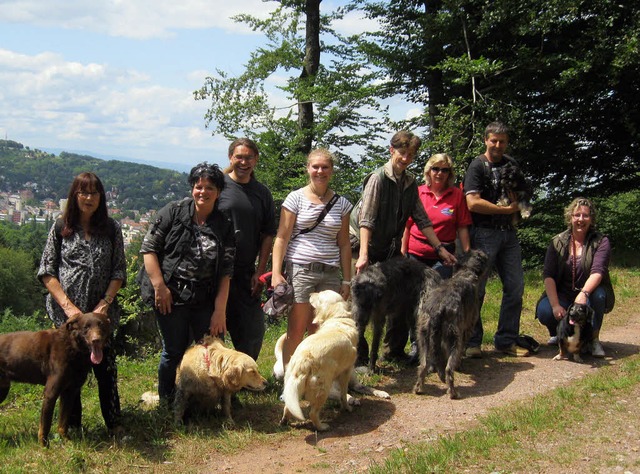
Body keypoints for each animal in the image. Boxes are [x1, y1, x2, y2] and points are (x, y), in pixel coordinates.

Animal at [0, 312, 110, 446]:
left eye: (102, 325)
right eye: (86, 327)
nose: (96, 340)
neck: (72, 346)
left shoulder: (70, 391)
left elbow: (63, 422)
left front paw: (67, 441)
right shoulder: (51, 392)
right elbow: (45, 424)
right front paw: (44, 446)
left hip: (3, 389)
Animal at [280, 290, 360, 432]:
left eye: (320, 294)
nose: (310, 294)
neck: (337, 318)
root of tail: (304, 359)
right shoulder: (346, 372)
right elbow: (344, 395)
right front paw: (347, 408)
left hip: (292, 385)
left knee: (288, 407)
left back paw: (285, 421)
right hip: (323, 389)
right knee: (313, 413)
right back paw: (322, 427)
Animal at [412, 250, 488, 398]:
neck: (465, 273)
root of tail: (437, 309)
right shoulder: (467, 329)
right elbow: (461, 351)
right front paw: (460, 365)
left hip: (423, 333)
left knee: (423, 364)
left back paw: (419, 388)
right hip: (453, 334)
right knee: (448, 368)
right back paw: (453, 392)